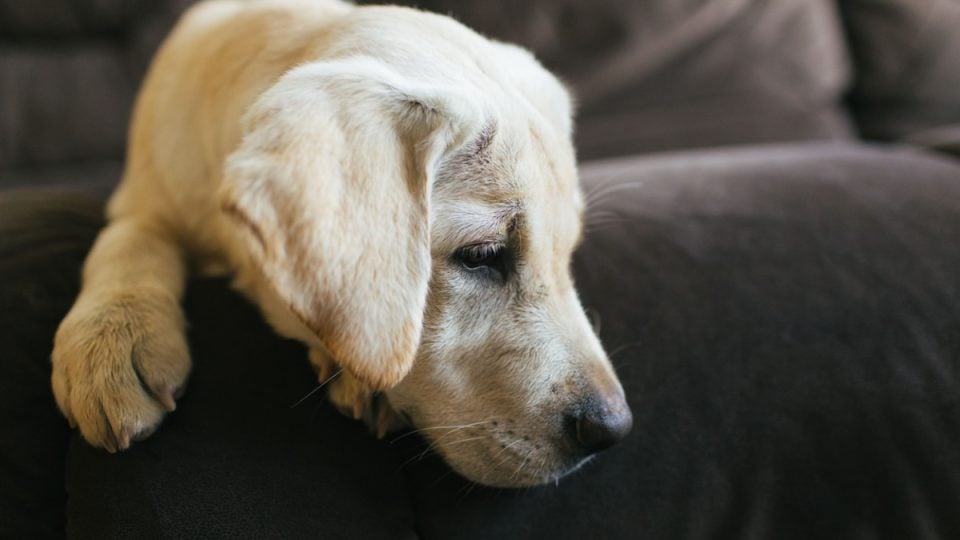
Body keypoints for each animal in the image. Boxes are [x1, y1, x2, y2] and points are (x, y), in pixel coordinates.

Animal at [56, 0, 632, 490]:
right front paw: (111, 339)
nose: (613, 430)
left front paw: (361, 378)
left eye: (567, 255)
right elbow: (128, 238)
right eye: (482, 256)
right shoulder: (145, 195)